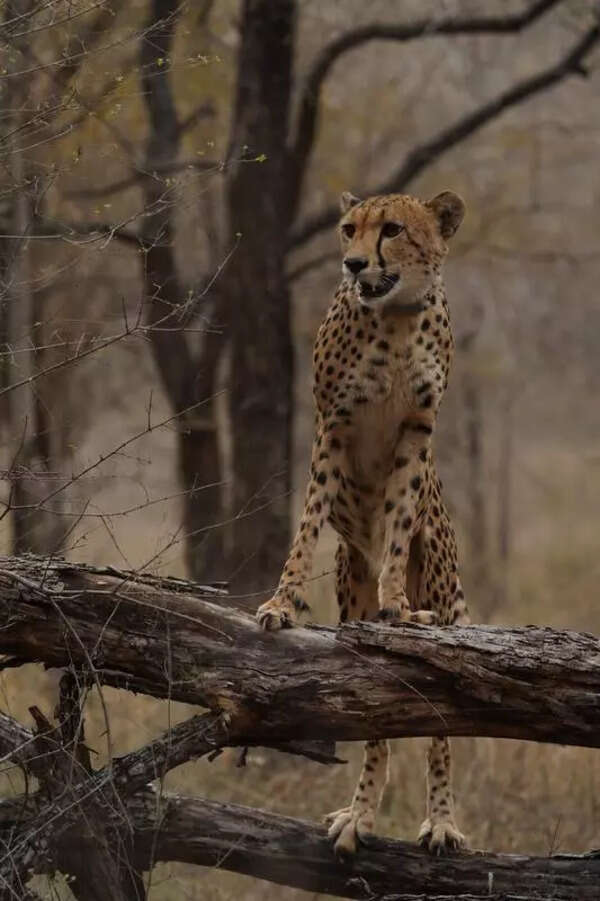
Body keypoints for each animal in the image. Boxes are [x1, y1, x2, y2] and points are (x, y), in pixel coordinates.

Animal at [257, 189, 470, 857]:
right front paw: (280, 604)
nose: (353, 264)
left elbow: (398, 525)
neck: (396, 317)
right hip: (351, 585)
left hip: (446, 591)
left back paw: (440, 819)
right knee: (375, 726)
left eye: (393, 230)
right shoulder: (335, 426)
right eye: (348, 229)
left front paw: (397, 606)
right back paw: (360, 815)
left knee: (442, 732)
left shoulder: (415, 433)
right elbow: (306, 525)